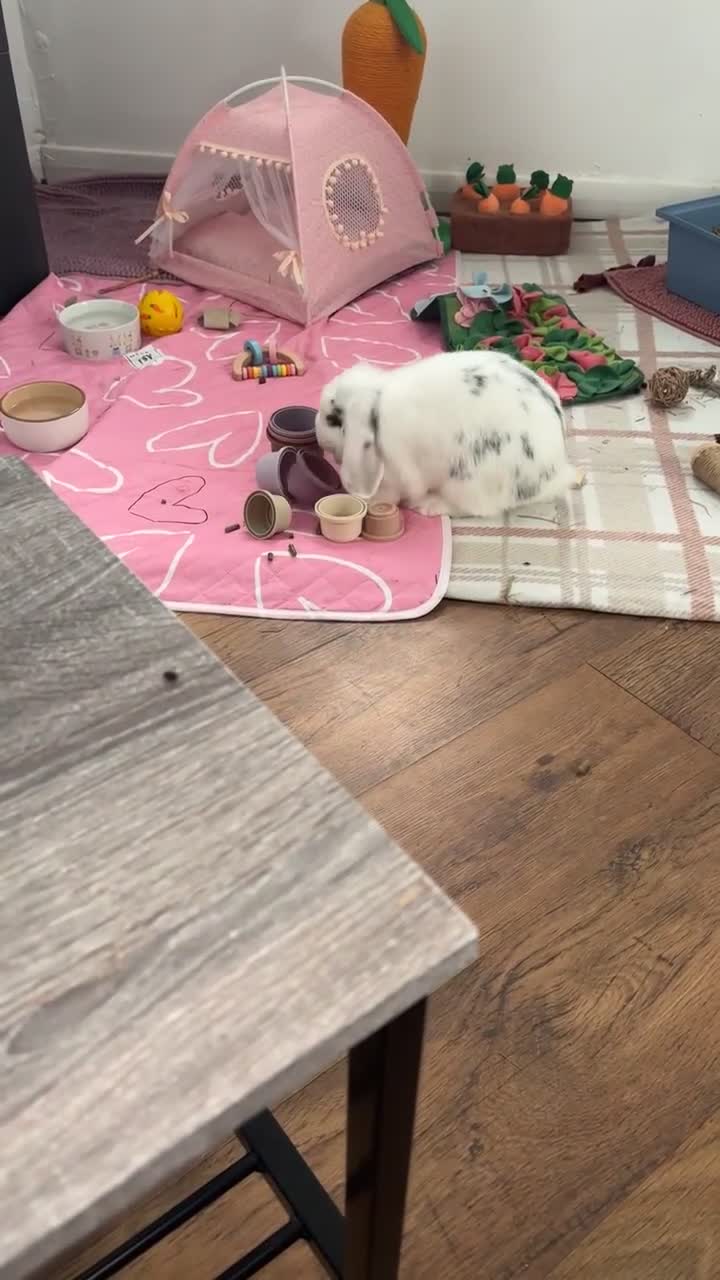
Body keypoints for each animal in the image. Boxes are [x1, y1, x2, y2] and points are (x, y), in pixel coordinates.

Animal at [315, 350, 576, 518]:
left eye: (332, 419)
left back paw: (428, 505)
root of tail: (555, 471)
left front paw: (372, 502)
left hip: (468, 482)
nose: (318, 435)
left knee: (475, 509)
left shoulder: (395, 475)